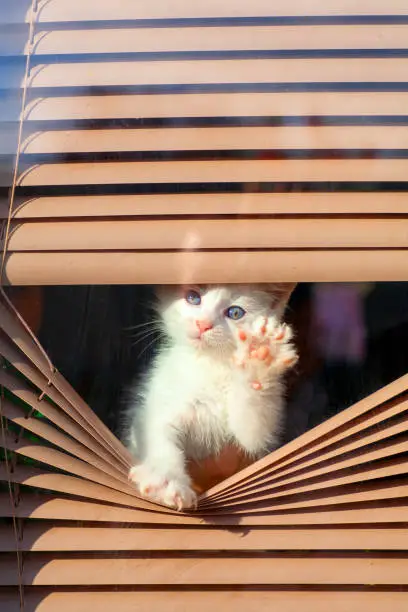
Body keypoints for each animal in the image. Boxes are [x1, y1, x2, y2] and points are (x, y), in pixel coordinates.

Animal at [123, 284, 296, 512]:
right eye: (193, 298)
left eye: (235, 313)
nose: (203, 324)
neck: (212, 363)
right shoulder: (159, 400)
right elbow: (158, 434)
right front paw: (166, 479)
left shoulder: (257, 441)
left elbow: (253, 432)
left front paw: (258, 358)